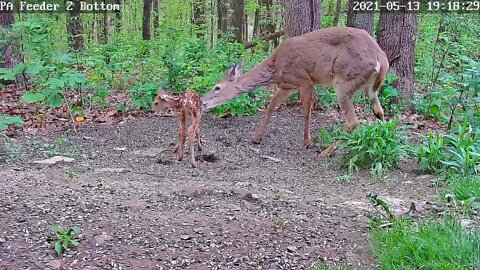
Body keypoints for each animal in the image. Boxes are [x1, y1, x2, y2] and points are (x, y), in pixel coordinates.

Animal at [201, 26, 388, 156]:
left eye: (217, 87)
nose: (202, 102)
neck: (275, 68)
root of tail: (382, 60)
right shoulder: (286, 85)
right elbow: (270, 107)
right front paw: (257, 137)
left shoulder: (304, 80)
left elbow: (306, 111)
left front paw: (306, 142)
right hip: (370, 88)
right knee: (379, 112)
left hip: (344, 81)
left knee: (353, 121)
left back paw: (326, 152)